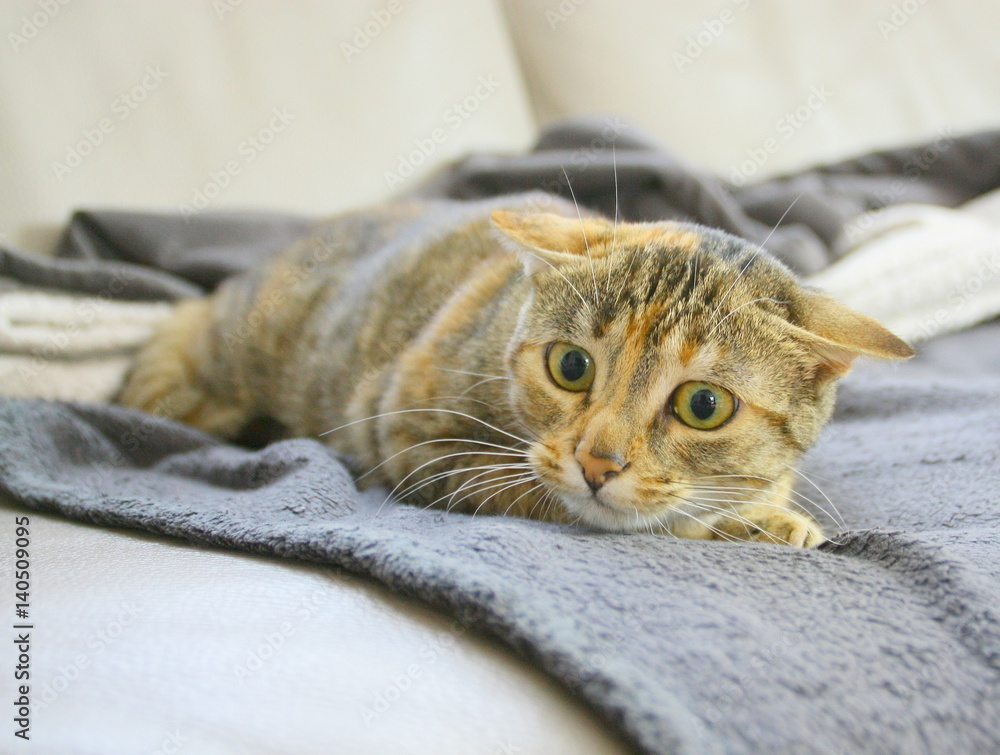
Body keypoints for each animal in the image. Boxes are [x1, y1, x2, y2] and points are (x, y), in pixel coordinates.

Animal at [117, 193, 916, 548]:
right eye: (571, 365)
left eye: (703, 406)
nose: (598, 462)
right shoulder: (412, 436)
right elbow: (548, 497)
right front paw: (732, 524)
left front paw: (768, 514)